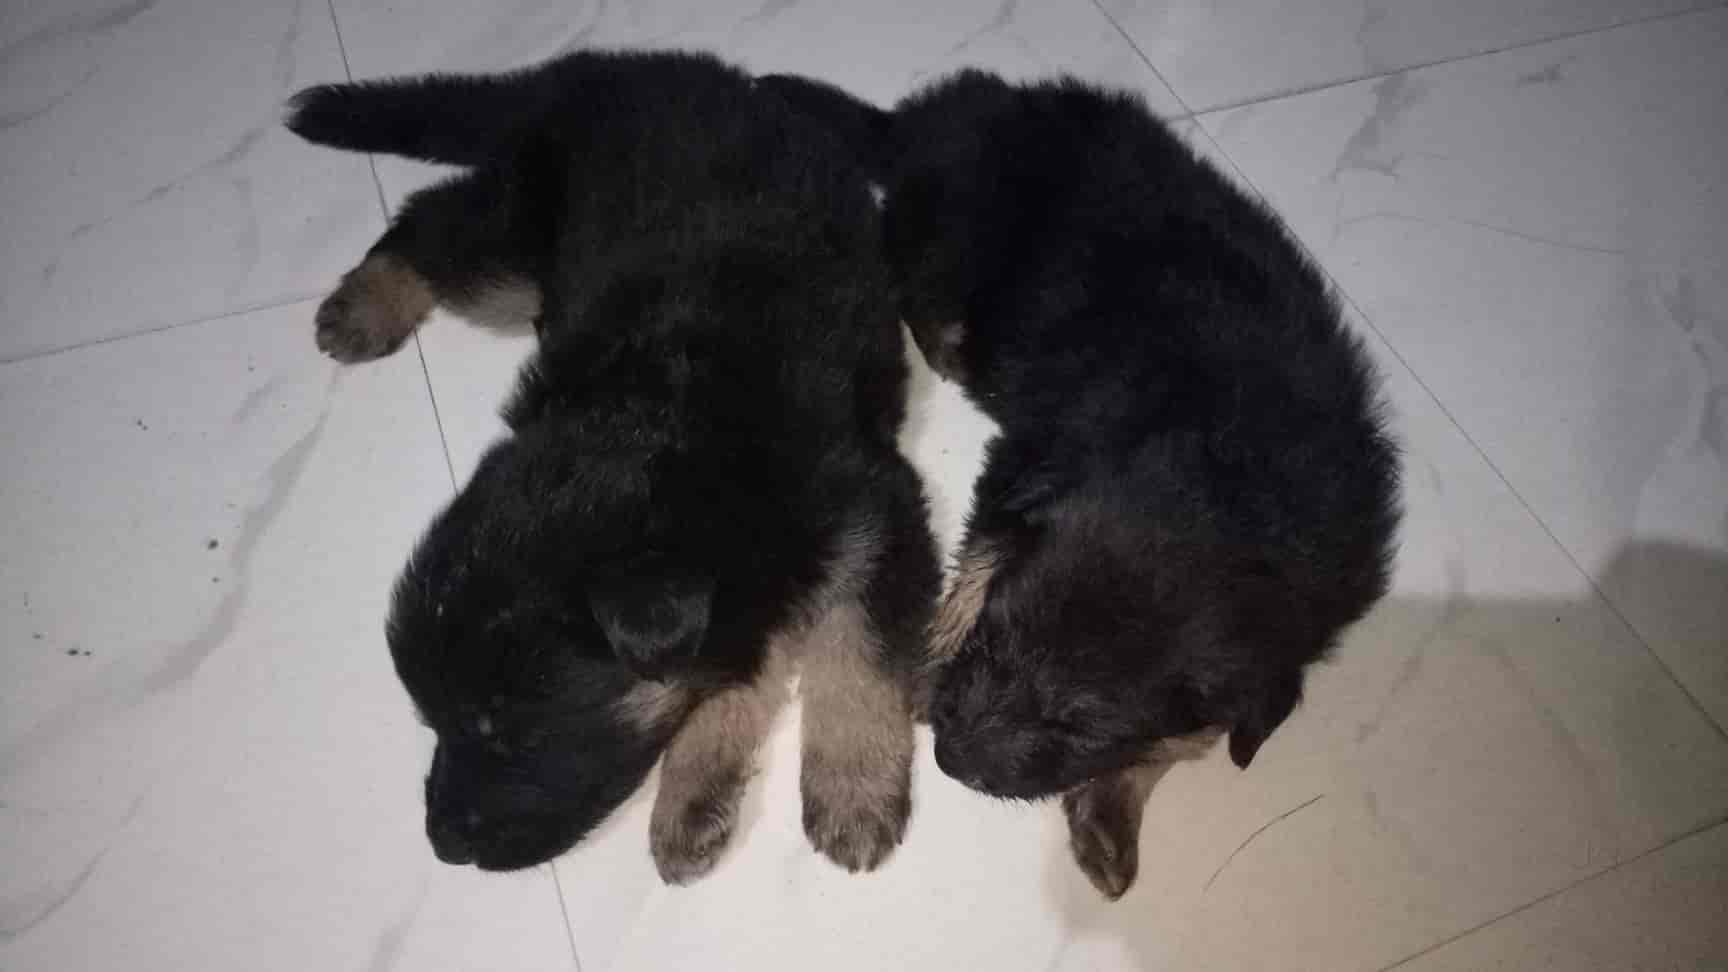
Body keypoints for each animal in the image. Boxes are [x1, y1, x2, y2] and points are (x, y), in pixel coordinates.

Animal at [286, 49, 939, 881]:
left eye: (510, 732)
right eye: (437, 722)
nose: (443, 844)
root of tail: (607, 68)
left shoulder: (881, 514)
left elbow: (856, 654)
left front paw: (851, 790)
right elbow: (736, 672)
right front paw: (697, 790)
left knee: (436, 214)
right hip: (516, 267)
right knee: (433, 219)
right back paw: (366, 306)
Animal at [801, 70, 1401, 898]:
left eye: (1080, 725)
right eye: (993, 640)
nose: (949, 757)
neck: (1236, 489)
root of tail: (961, 109)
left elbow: (1190, 734)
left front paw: (1112, 810)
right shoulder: (1026, 470)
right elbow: (977, 564)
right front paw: (932, 658)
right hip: (955, 244)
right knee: (915, 281)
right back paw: (947, 344)